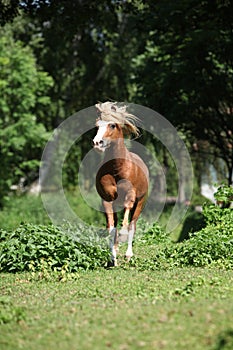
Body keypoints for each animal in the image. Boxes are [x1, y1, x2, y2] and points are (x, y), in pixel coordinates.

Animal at [92, 101, 148, 266]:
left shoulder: (131, 195)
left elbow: (127, 217)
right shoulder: (107, 200)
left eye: (112, 125)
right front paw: (113, 257)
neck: (118, 169)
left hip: (141, 201)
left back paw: (128, 254)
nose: (97, 143)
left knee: (132, 224)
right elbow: (111, 227)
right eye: (97, 126)